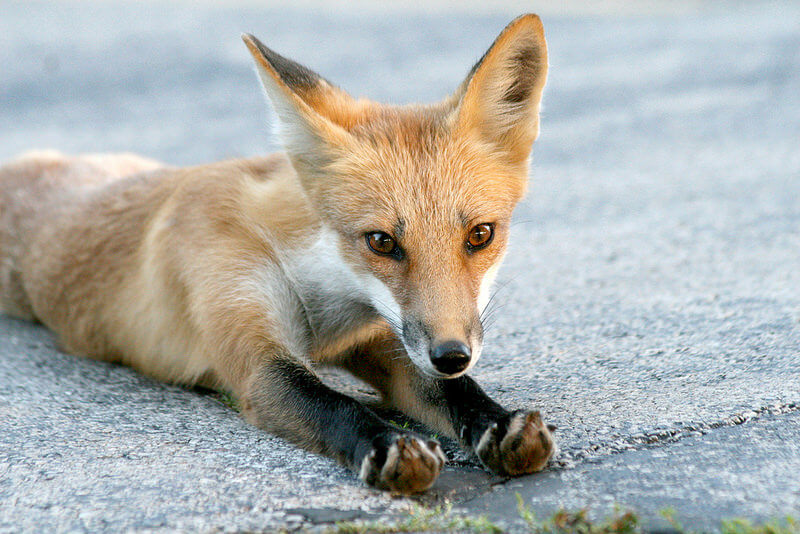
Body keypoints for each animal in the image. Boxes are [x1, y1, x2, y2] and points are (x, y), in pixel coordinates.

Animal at [0, 15, 552, 494]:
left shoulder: (380, 338)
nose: (452, 354)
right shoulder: (254, 352)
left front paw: (499, 423)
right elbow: (331, 403)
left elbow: (449, 391)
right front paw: (387, 443)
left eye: (480, 235)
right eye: (381, 242)